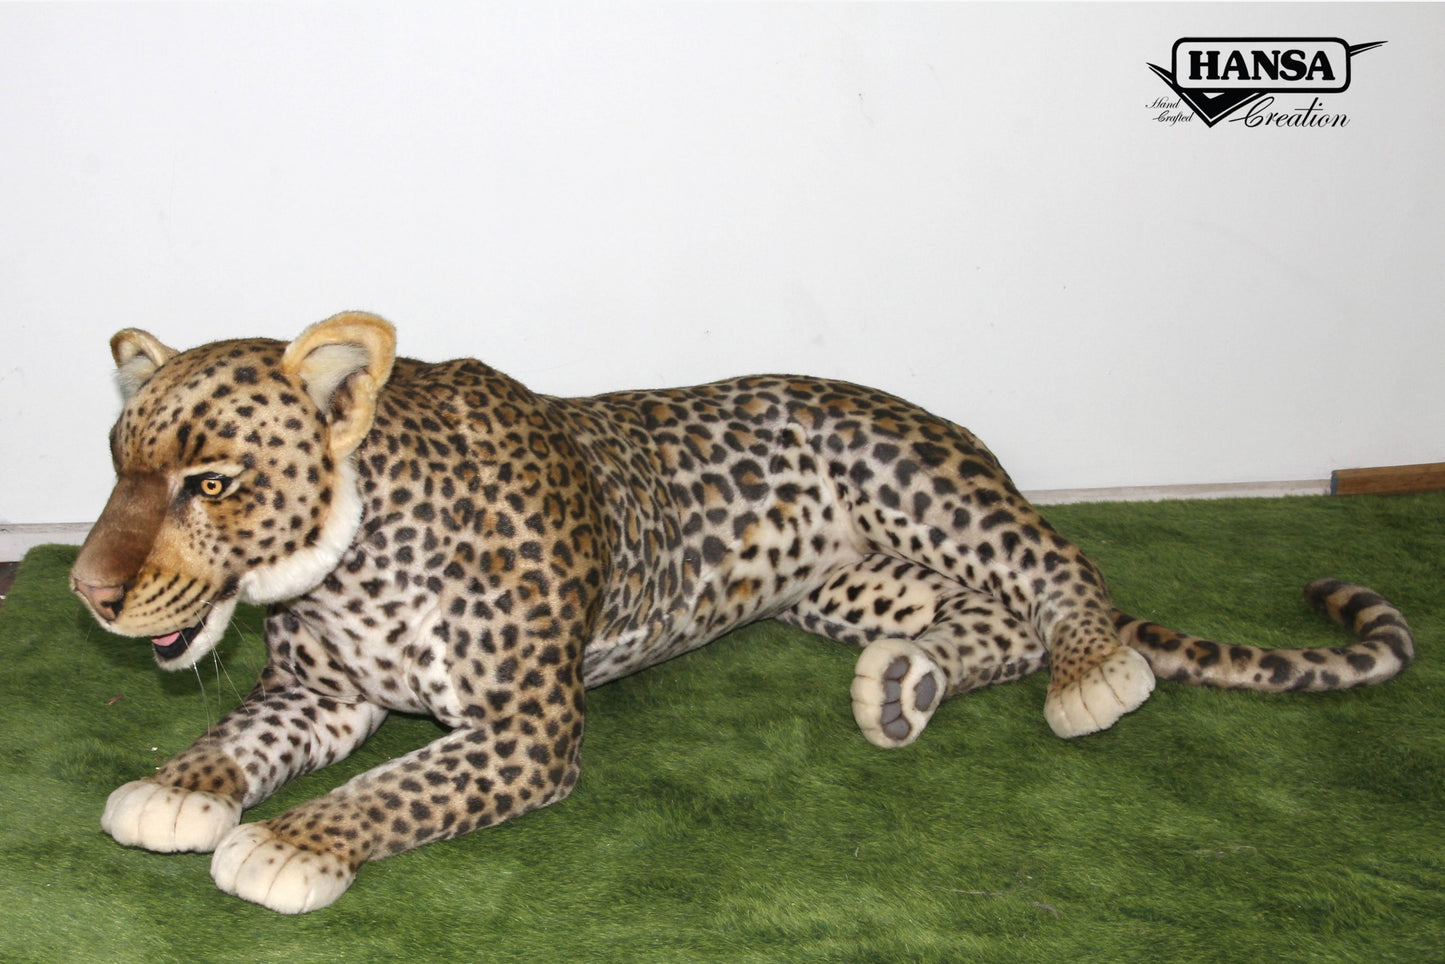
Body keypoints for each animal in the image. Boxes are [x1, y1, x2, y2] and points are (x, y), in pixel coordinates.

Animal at [70, 311, 1415, 914]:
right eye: (119, 463)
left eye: (210, 480)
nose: (88, 590)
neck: (347, 563)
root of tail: (937, 419)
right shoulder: (315, 694)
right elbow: (232, 738)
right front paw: (178, 790)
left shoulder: (524, 730)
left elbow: (392, 789)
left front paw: (289, 844)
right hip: (849, 582)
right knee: (991, 617)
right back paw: (905, 681)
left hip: (921, 485)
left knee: (1061, 572)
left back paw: (1092, 675)